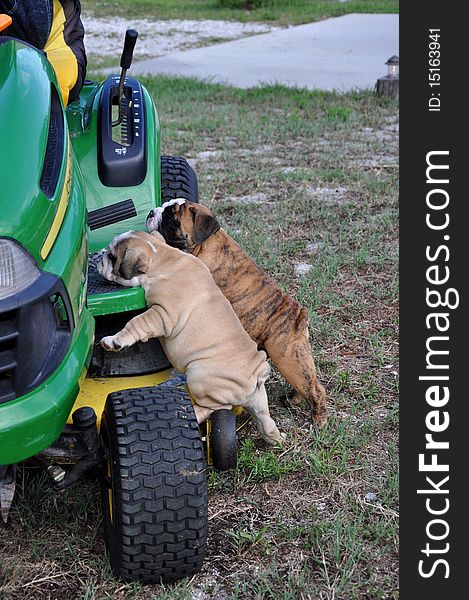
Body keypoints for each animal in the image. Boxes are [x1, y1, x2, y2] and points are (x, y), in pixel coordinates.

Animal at [97, 230, 284, 446]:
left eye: (112, 256)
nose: (100, 256)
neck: (162, 256)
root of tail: (256, 374)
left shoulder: (161, 315)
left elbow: (136, 323)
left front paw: (114, 341)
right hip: (258, 401)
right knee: (264, 418)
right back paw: (276, 438)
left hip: (198, 376)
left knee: (216, 408)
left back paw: (189, 412)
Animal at [146, 202, 326, 426]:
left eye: (171, 218)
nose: (151, 212)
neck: (206, 245)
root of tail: (298, 316)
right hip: (296, 360)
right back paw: (293, 400)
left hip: (287, 359)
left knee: (316, 389)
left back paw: (319, 420)